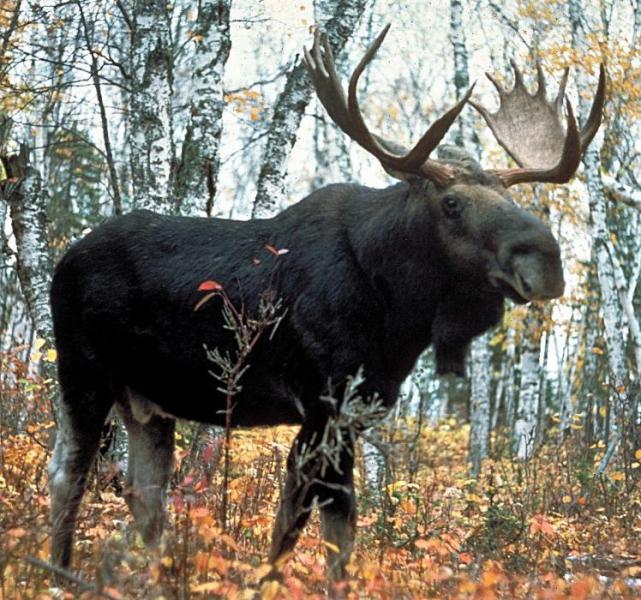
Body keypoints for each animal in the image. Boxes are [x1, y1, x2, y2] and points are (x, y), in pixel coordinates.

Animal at [48, 25, 605, 583]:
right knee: (67, 475)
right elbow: (306, 527)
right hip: (83, 373)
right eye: (452, 203)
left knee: (144, 495)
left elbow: (328, 531)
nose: (547, 259)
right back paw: (59, 574)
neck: (399, 314)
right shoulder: (323, 403)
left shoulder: (354, 411)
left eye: (512, 201)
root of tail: (63, 259)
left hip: (147, 402)